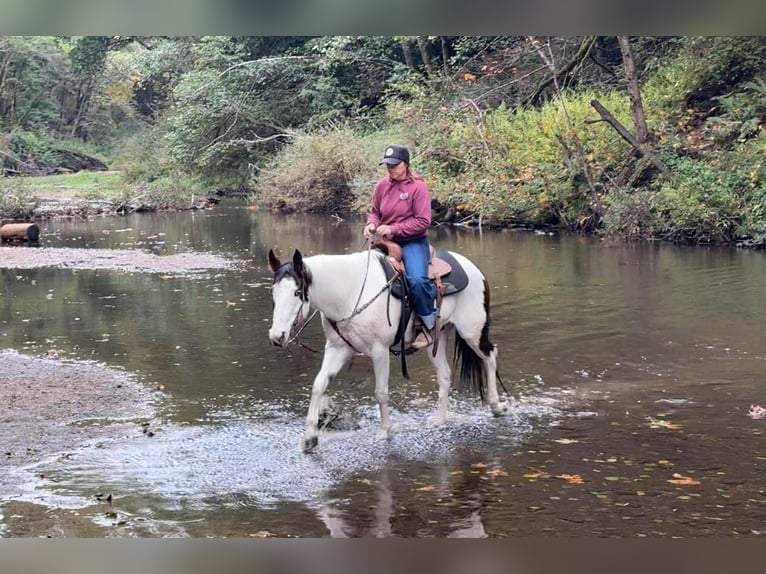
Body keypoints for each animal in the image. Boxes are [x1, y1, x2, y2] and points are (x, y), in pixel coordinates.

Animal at [267, 246, 509, 452]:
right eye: (274, 293)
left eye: (297, 292)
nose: (277, 337)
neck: (349, 293)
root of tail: (473, 268)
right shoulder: (338, 349)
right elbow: (319, 385)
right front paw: (310, 438)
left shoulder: (379, 351)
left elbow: (381, 392)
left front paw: (385, 433)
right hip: (437, 339)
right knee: (444, 374)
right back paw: (440, 419)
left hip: (472, 332)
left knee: (490, 355)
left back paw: (496, 406)